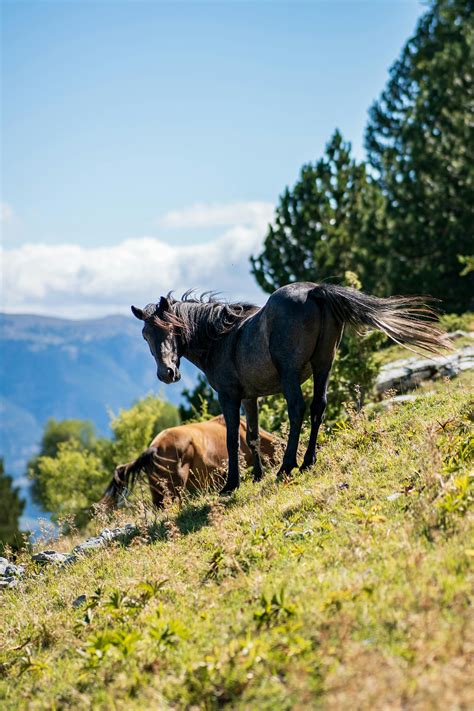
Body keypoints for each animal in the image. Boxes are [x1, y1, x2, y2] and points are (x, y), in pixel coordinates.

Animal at [131, 280, 450, 492]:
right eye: (146, 335)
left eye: (172, 330)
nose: (167, 373)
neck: (222, 338)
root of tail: (314, 291)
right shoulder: (251, 397)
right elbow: (252, 436)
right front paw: (256, 475)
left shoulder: (229, 396)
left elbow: (233, 438)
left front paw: (232, 484)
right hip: (323, 366)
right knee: (318, 407)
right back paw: (307, 460)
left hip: (290, 375)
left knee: (297, 409)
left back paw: (287, 467)